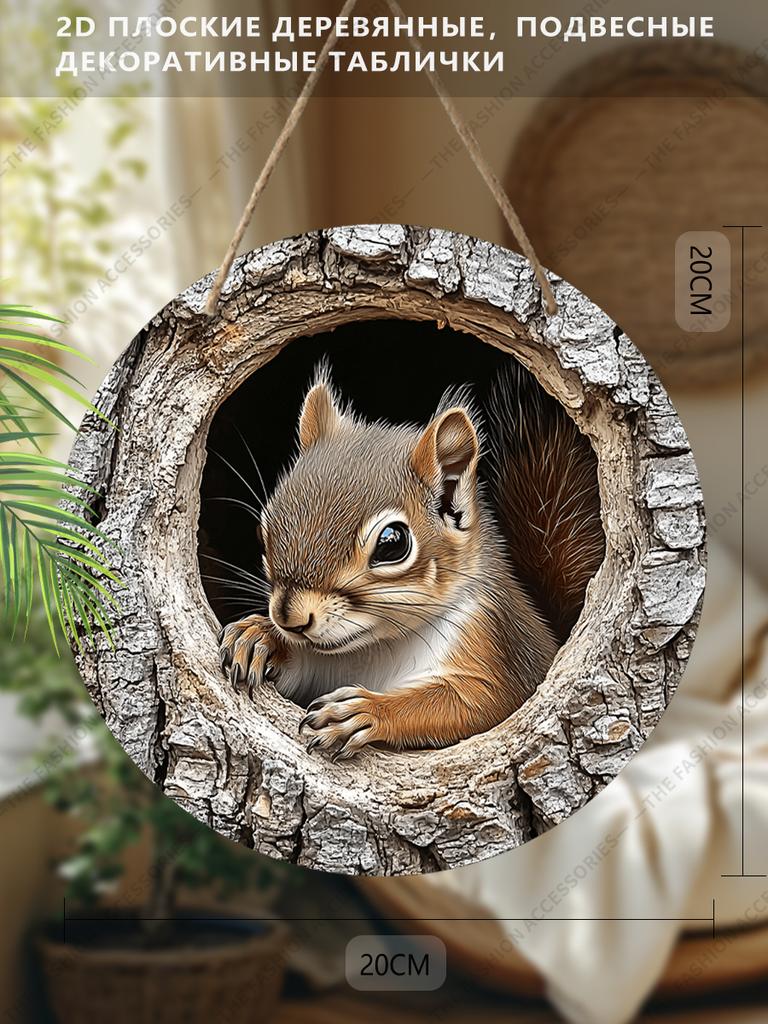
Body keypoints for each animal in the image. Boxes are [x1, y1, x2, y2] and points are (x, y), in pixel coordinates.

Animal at [218, 360, 604, 760]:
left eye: (392, 543)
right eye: (263, 529)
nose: (289, 619)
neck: (376, 647)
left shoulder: (498, 653)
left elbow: (473, 704)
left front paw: (366, 713)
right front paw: (259, 637)